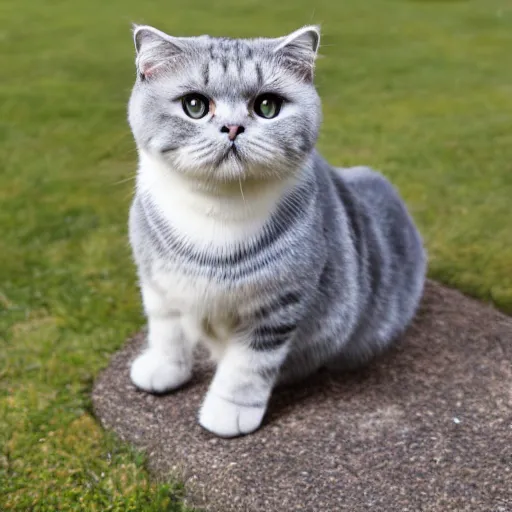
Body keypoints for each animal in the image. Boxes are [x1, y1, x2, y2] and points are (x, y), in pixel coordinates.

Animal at [126, 24, 426, 438]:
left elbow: (247, 367)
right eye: (195, 105)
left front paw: (228, 413)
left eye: (267, 106)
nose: (233, 127)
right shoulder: (157, 282)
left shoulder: (279, 305)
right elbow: (167, 332)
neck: (215, 212)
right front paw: (163, 369)